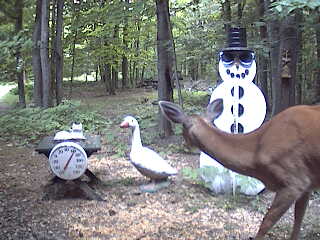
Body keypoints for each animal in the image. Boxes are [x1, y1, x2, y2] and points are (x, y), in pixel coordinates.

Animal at [159, 98, 320, 239]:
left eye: (183, 127)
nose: (185, 145)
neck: (257, 152)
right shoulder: (308, 185)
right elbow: (298, 223)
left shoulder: (295, 181)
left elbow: (265, 224)